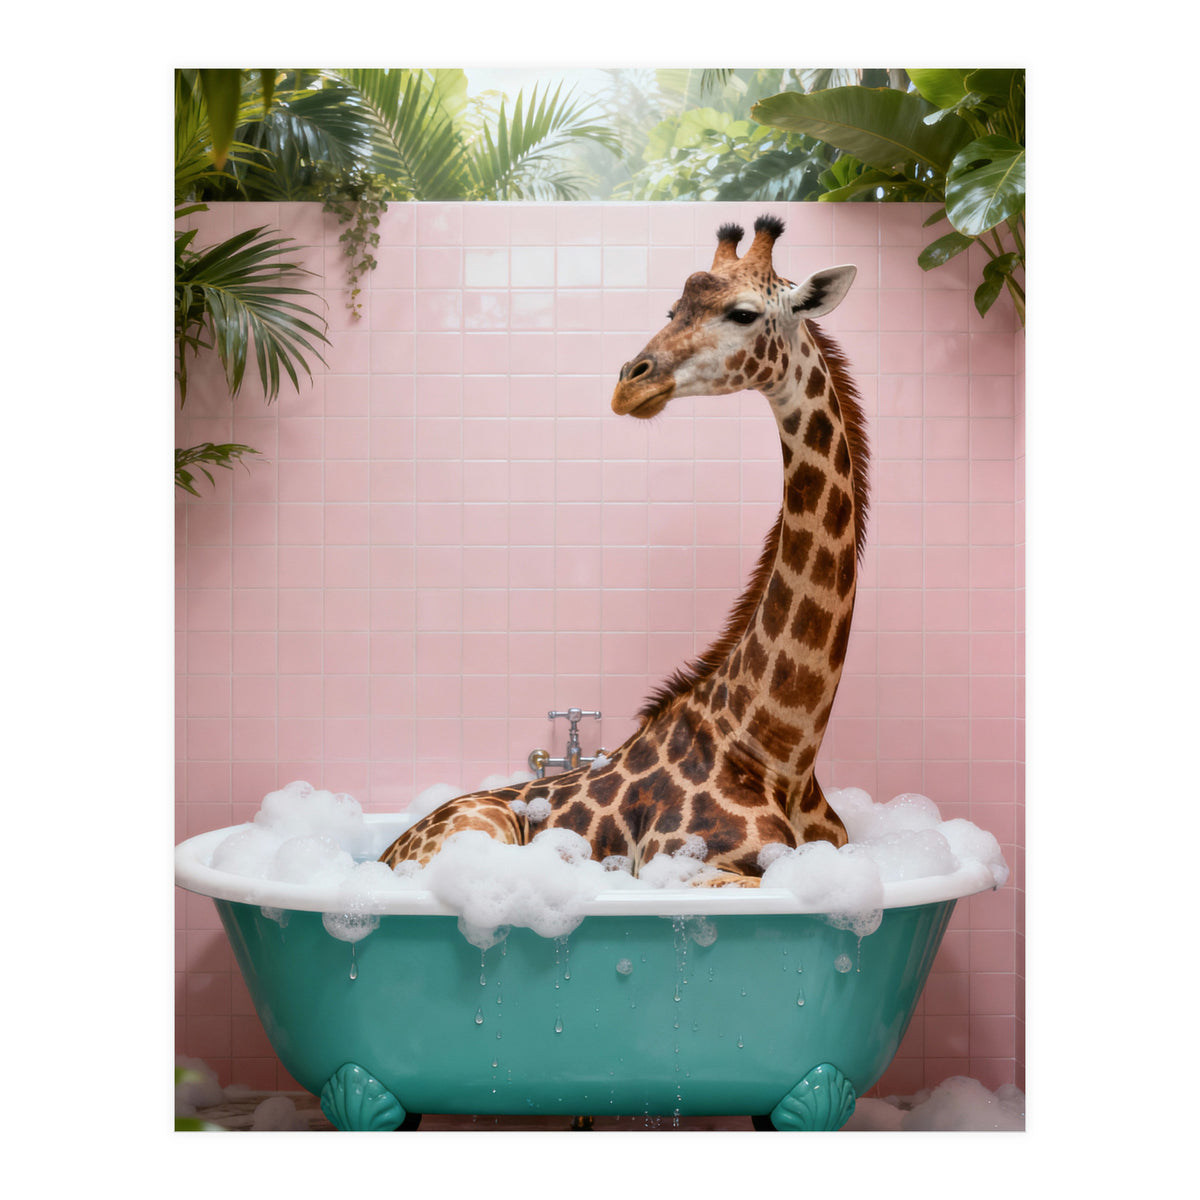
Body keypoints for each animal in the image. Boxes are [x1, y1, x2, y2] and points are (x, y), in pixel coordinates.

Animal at [379, 214, 869, 886]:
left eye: (743, 313)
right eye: (672, 309)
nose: (629, 384)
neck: (782, 752)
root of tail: (385, 852)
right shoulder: (681, 864)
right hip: (482, 829)